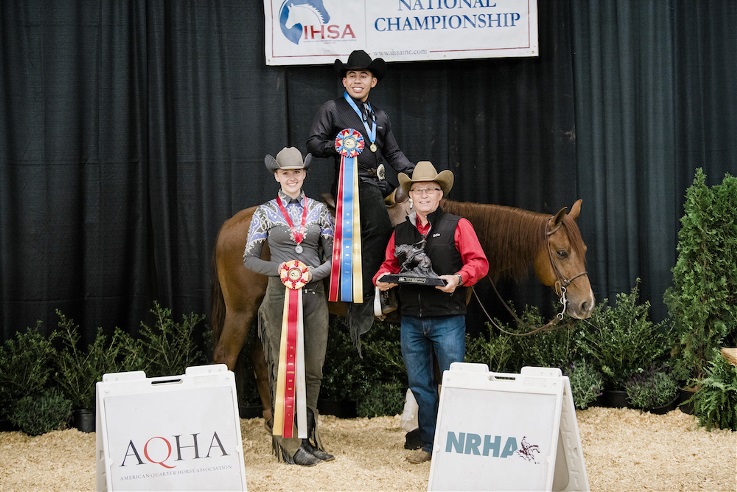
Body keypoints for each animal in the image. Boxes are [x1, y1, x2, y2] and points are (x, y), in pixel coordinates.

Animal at [207, 194, 592, 420]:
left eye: (584, 249)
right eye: (562, 252)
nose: (585, 303)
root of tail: (231, 225)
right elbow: (436, 373)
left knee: (258, 358)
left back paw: (272, 418)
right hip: (241, 312)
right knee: (226, 357)